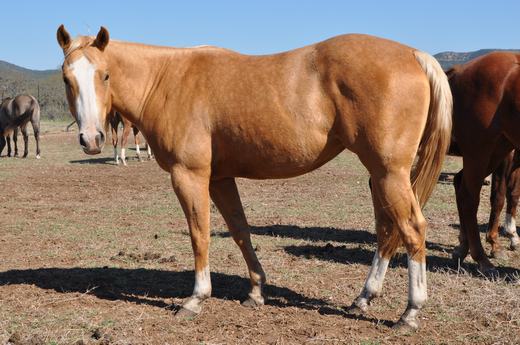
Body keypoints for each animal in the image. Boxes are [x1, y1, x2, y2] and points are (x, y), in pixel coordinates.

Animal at [54, 25, 448, 330]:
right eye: (66, 78)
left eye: (105, 75)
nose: (91, 139)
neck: (167, 81)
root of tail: (414, 55)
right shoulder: (220, 179)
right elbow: (240, 231)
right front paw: (256, 292)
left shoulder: (189, 176)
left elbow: (200, 235)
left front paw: (196, 299)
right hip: (380, 176)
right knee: (387, 229)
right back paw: (363, 298)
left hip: (389, 173)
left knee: (412, 229)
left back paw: (410, 313)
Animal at [446, 51, 520, 274]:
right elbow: (500, 196)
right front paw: (497, 241)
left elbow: (510, 195)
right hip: (480, 152)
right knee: (469, 197)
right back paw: (481, 258)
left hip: (493, 152)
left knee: (460, 185)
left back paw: (463, 247)